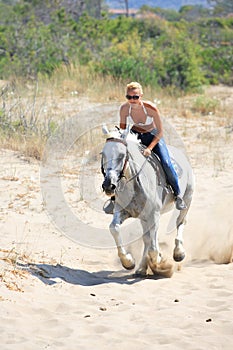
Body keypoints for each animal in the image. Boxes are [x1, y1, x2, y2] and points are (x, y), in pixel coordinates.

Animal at [101, 127, 194, 278]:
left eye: (121, 155)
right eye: (102, 154)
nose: (109, 185)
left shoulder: (153, 215)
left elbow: (153, 248)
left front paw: (159, 261)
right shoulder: (122, 211)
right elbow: (114, 228)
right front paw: (129, 262)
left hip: (187, 200)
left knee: (180, 222)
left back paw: (179, 253)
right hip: (143, 218)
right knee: (147, 238)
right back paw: (141, 269)